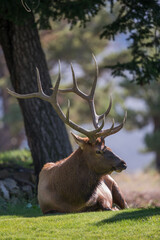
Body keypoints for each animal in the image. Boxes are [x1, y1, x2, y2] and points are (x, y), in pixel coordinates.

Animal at [7, 56, 127, 214]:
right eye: (98, 151)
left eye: (108, 147)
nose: (123, 163)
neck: (72, 201)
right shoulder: (46, 209)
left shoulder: (101, 197)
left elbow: (107, 207)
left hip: (115, 186)